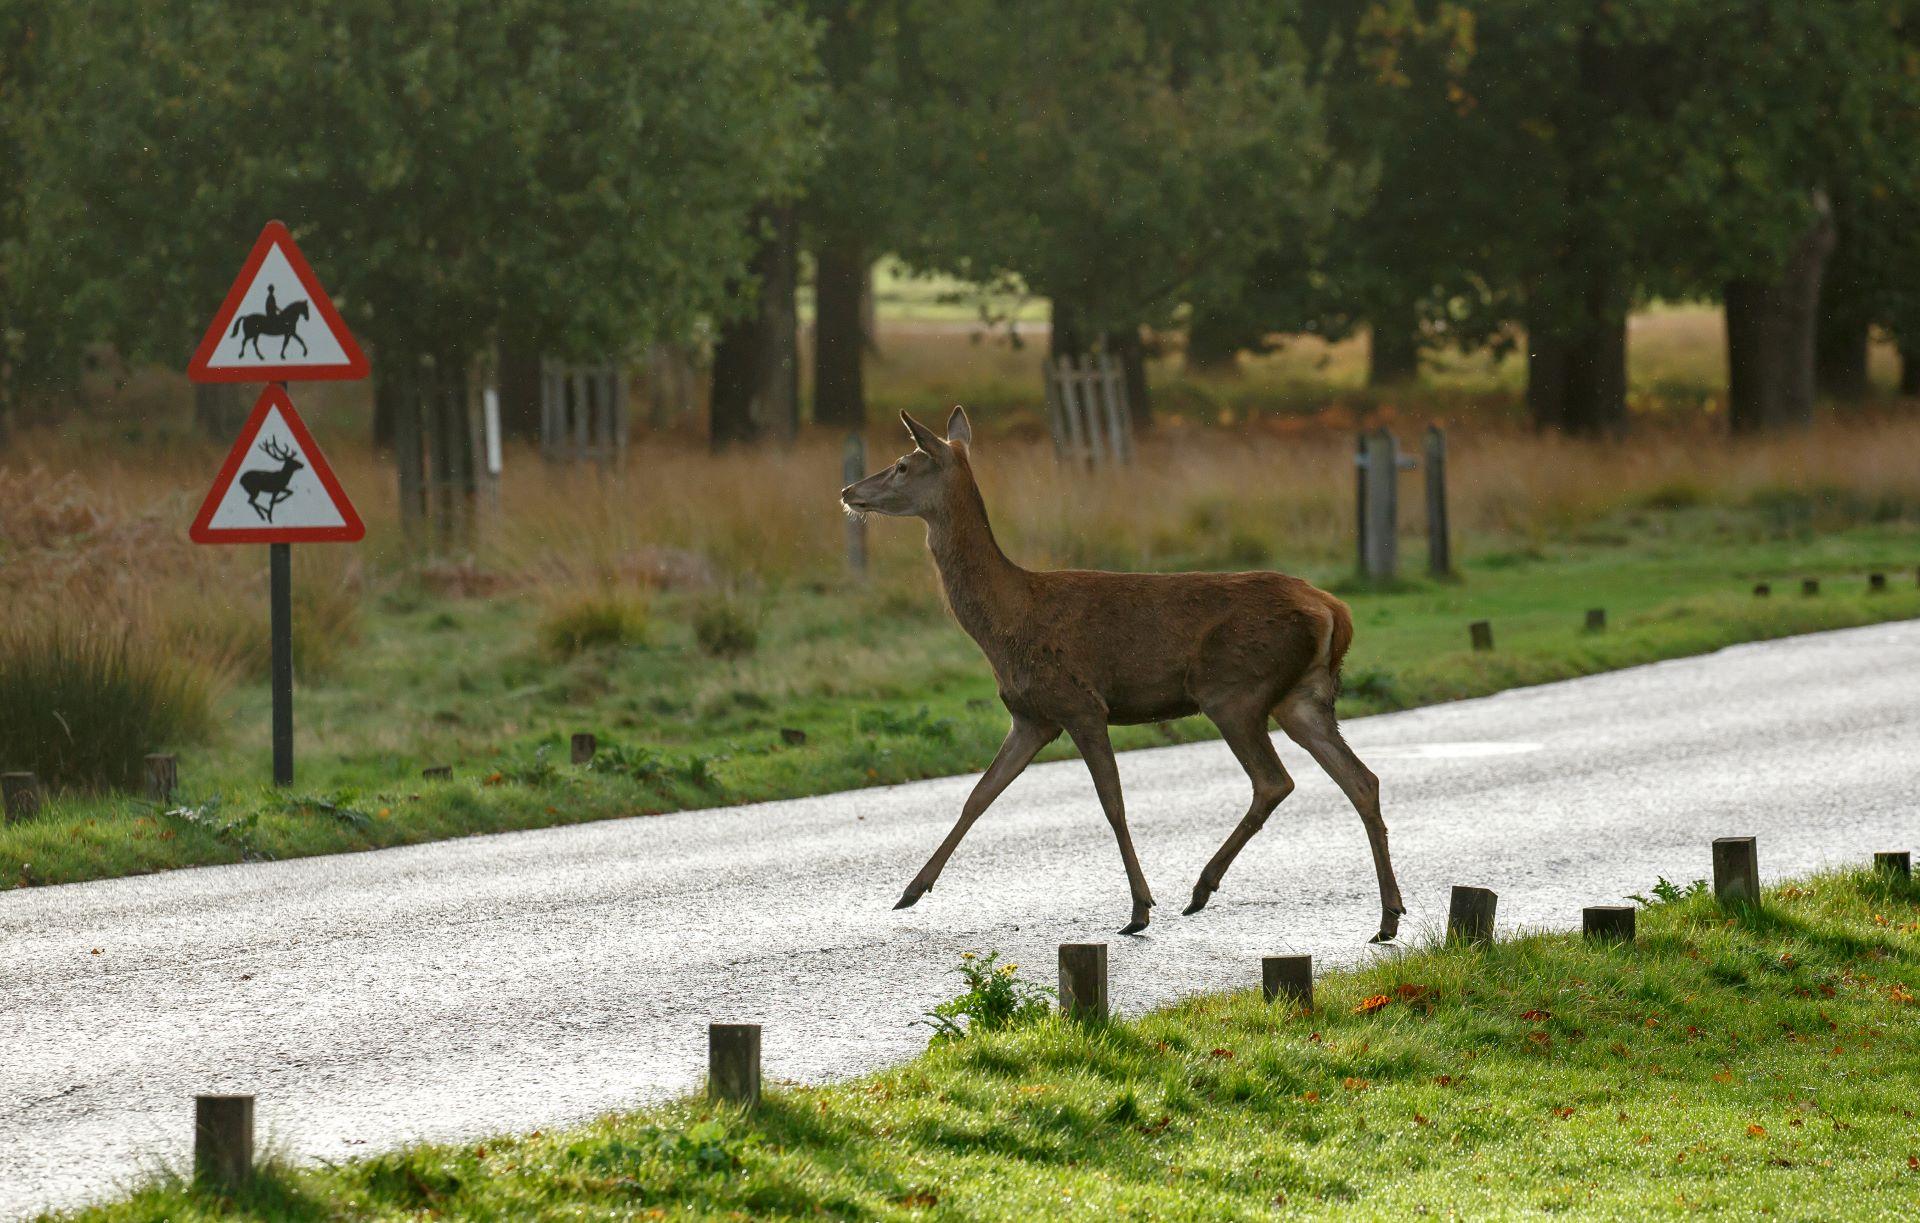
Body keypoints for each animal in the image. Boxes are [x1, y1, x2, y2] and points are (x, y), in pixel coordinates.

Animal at [840, 408, 1405, 942]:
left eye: (903, 464)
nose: (848, 491)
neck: (1007, 621)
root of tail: (1333, 609)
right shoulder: (1032, 716)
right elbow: (978, 795)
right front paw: (911, 890)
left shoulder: (1081, 703)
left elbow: (1112, 803)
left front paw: (1139, 909)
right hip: (1303, 697)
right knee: (1362, 779)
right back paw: (1388, 917)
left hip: (1234, 689)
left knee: (1274, 780)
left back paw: (1201, 888)